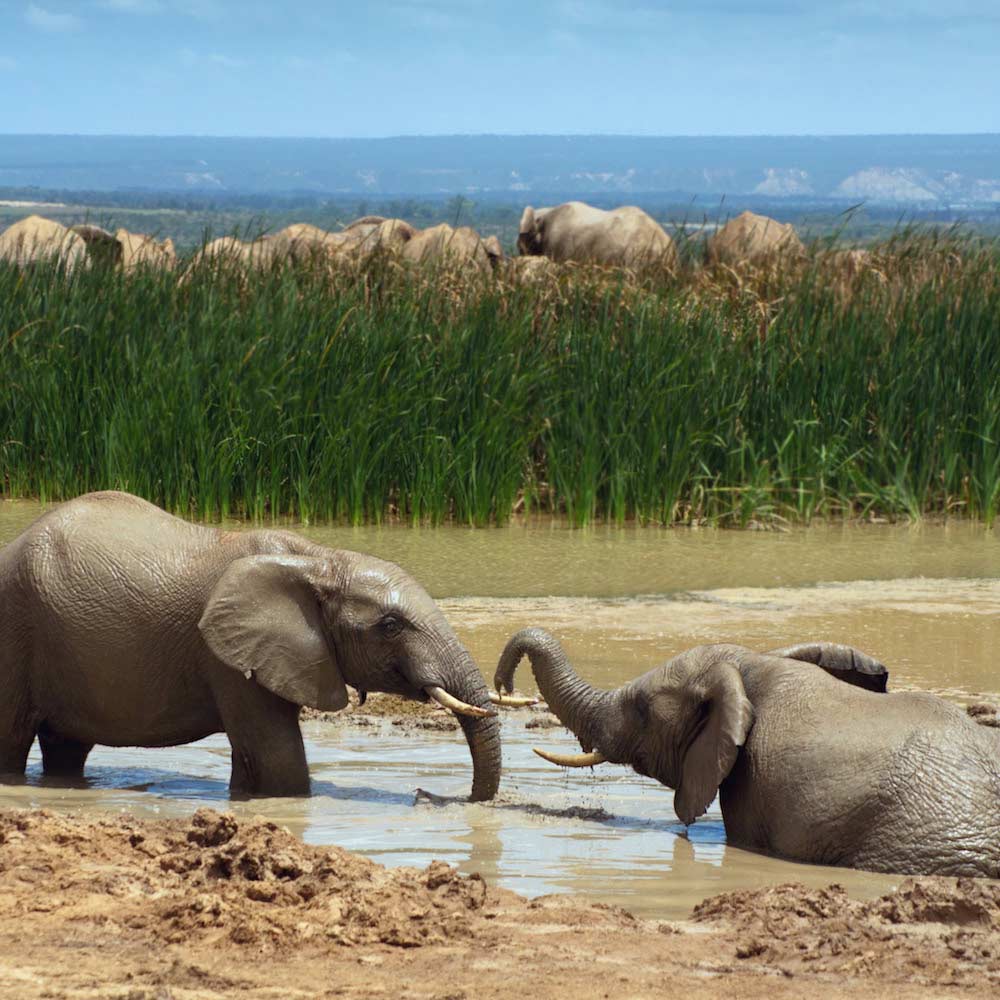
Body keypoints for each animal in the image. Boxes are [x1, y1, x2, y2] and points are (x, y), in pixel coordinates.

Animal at [0, 492, 501, 800]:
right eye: (391, 625)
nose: (426, 794)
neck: (319, 559)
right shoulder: (225, 654)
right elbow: (277, 759)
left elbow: (254, 761)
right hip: (15, 629)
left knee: (67, 748)